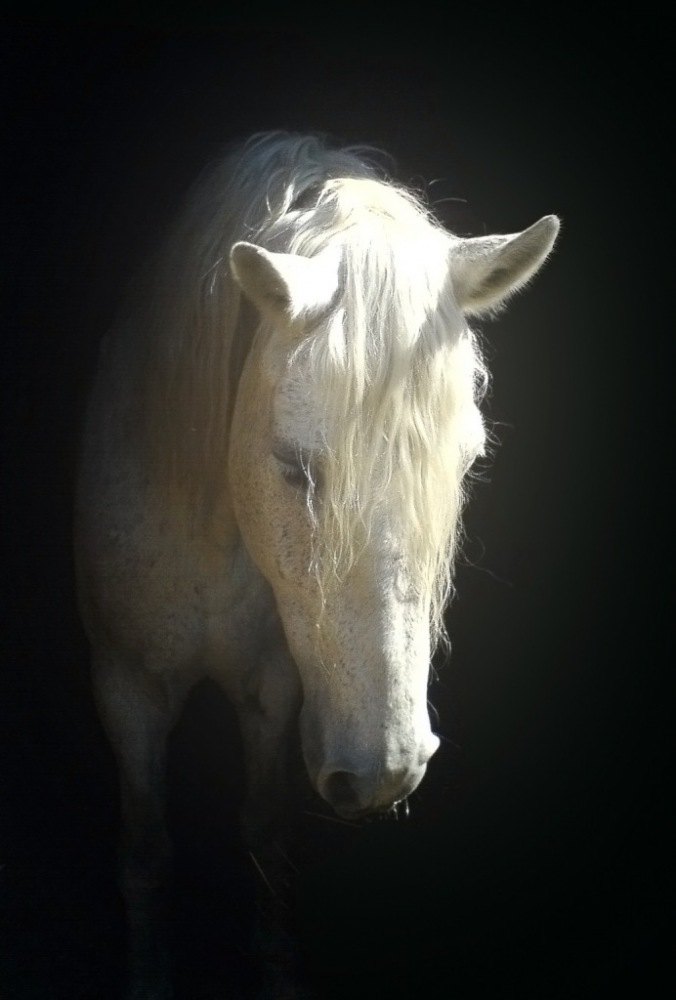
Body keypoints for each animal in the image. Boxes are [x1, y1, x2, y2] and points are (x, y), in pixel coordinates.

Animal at [72, 131, 560, 992]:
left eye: (468, 464)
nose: (386, 769)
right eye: (294, 468)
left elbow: (265, 836)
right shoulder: (124, 687)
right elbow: (145, 855)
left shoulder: (273, 689)